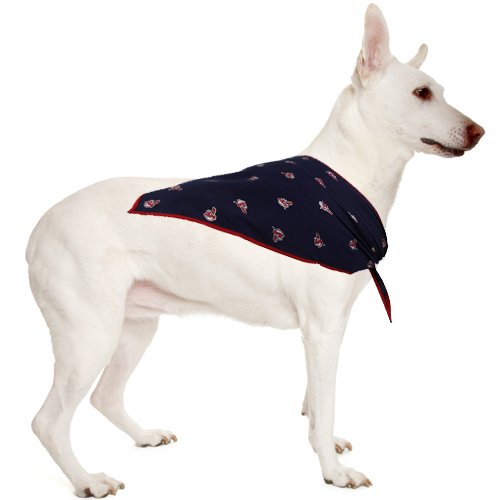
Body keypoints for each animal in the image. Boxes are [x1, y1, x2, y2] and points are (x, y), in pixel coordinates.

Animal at [27, 4, 484, 497]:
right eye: (421, 93)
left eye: (440, 91)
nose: (480, 131)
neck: (346, 179)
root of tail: (38, 229)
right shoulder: (324, 330)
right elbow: (326, 402)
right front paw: (333, 473)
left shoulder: (320, 332)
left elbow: (315, 406)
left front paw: (325, 447)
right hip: (90, 334)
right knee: (48, 422)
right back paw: (87, 480)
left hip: (134, 327)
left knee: (105, 396)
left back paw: (145, 436)